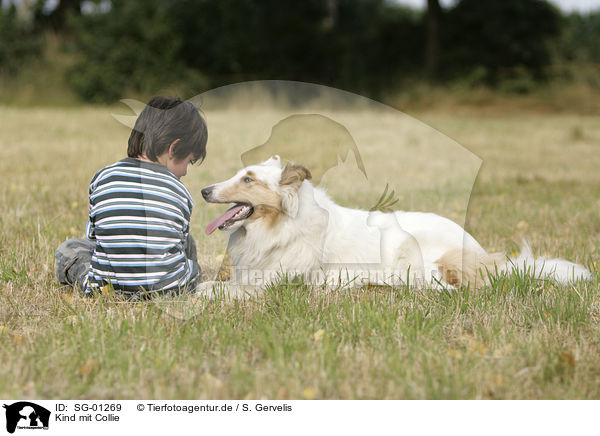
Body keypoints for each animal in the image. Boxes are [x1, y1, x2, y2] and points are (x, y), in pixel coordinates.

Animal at [199, 154, 592, 296]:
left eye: (248, 180)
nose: (203, 190)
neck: (280, 226)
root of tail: (483, 255)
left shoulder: (271, 284)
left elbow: (215, 290)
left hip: (405, 243)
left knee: (436, 285)